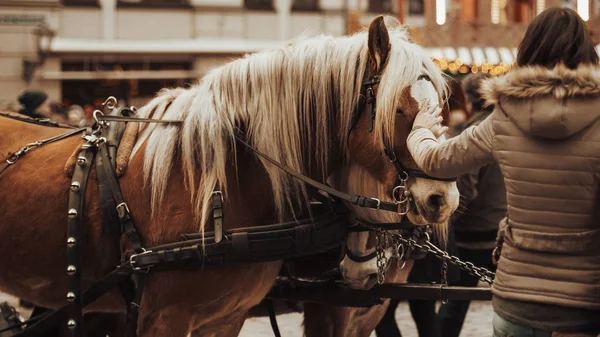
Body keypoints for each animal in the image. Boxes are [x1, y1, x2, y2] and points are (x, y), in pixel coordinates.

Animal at [1, 15, 460, 336]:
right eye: (397, 110)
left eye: (441, 106)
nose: (443, 199)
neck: (220, 183)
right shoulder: (164, 317)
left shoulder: (229, 316)